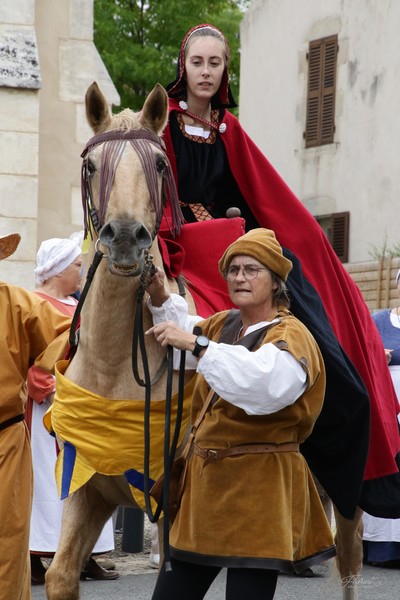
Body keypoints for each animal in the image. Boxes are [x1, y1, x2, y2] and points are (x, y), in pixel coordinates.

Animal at [44, 82, 196, 600]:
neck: (112, 367)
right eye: (92, 166)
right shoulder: (85, 487)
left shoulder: (172, 505)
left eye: (161, 165)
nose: (127, 236)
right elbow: (59, 573)